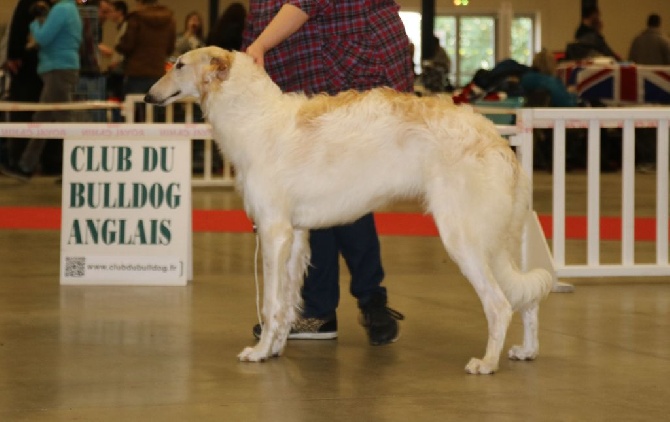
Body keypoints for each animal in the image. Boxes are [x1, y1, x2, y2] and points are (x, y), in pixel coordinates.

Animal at [147, 47, 556, 374]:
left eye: (178, 65)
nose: (150, 96)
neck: (254, 117)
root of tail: (499, 143)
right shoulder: (295, 235)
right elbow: (287, 304)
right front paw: (275, 348)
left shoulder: (273, 231)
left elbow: (272, 303)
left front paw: (259, 352)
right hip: (493, 241)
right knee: (527, 298)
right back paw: (528, 350)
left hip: (463, 239)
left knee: (500, 305)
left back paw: (486, 363)